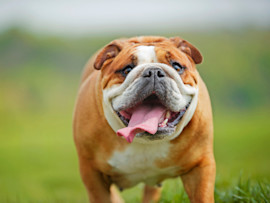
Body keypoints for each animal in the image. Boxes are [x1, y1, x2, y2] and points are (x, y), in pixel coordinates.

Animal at [73, 35, 216, 202]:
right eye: (127, 69)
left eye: (177, 67)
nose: (153, 71)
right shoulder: (92, 173)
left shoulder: (200, 166)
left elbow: (202, 197)